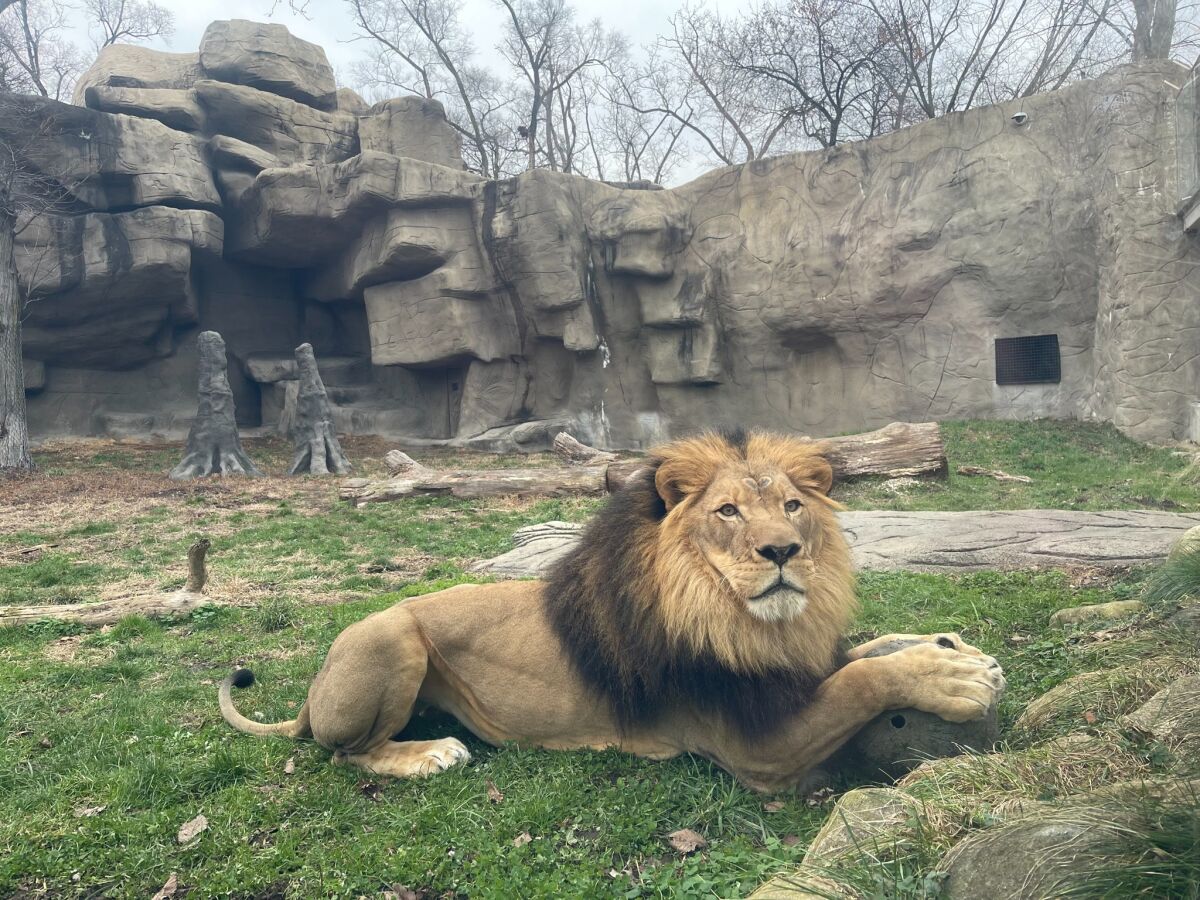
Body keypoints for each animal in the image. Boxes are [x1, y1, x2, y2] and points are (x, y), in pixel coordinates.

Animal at [220, 434, 1008, 792]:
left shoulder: (784, 667)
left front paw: (953, 648)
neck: (734, 613)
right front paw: (957, 681)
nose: (782, 550)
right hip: (389, 634)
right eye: (727, 512)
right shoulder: (756, 746)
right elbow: (859, 680)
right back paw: (430, 752)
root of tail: (312, 693)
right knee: (344, 750)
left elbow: (861, 654)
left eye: (791, 506)